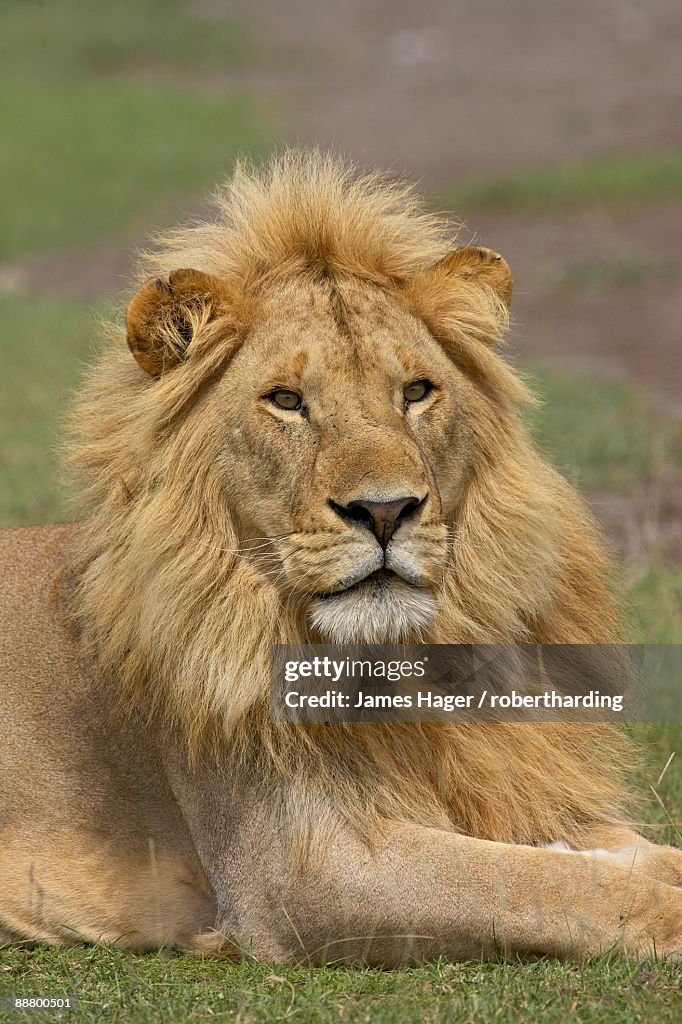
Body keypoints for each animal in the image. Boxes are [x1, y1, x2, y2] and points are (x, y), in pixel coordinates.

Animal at [1, 149, 679, 958]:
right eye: (287, 400)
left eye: (416, 391)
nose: (384, 511)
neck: (404, 665)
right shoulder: (296, 873)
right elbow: (541, 885)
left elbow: (621, 853)